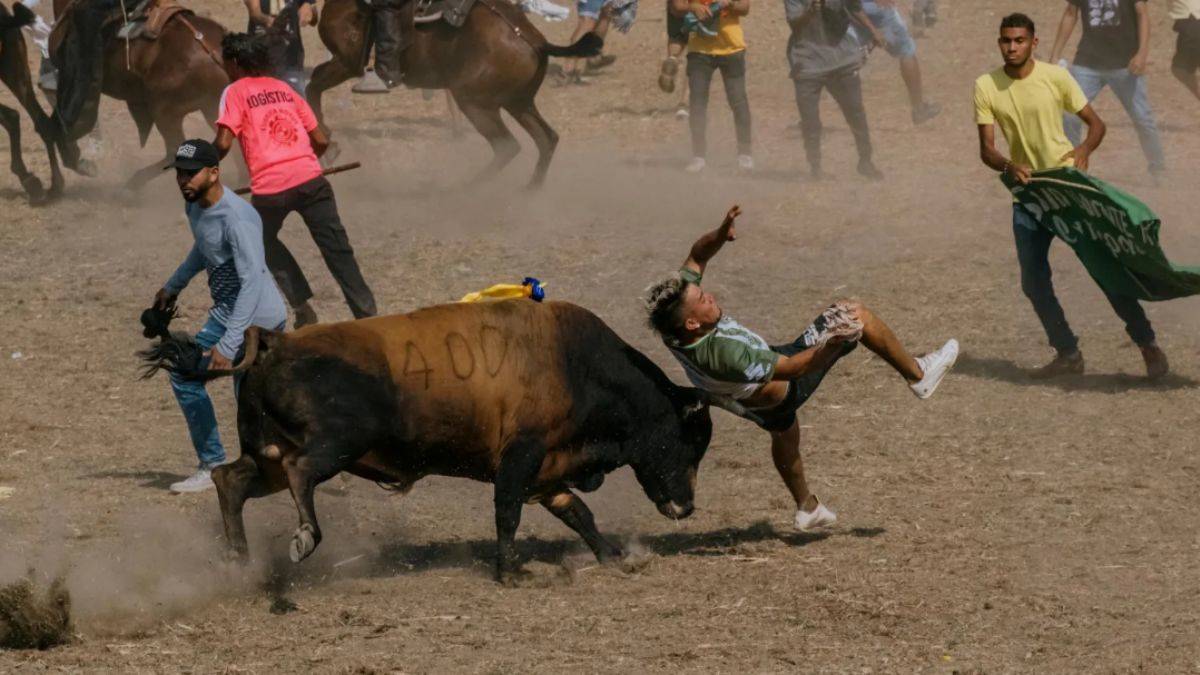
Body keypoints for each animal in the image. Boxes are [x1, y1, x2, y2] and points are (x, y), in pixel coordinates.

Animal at [47, 0, 229, 186]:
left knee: (174, 150)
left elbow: (54, 127)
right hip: (210, 110)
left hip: (165, 112)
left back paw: (133, 183)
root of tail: (212, 51)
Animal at [145, 299, 715, 583]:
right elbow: (507, 513)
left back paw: (238, 558)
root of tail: (275, 342)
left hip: (266, 453)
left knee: (231, 480)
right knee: (300, 473)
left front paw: (614, 556)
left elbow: (578, 513)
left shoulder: (547, 470)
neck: (577, 364)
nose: (687, 507)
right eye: (690, 441)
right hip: (335, 444)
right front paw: (511, 572)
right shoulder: (520, 457)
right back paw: (305, 537)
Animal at [307, 0, 600, 186]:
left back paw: (466, 188)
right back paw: (530, 190)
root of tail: (536, 41)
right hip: (519, 103)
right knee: (546, 138)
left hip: (474, 101)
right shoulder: (343, 62)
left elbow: (312, 86)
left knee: (507, 145)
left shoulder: (346, 62)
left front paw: (328, 145)